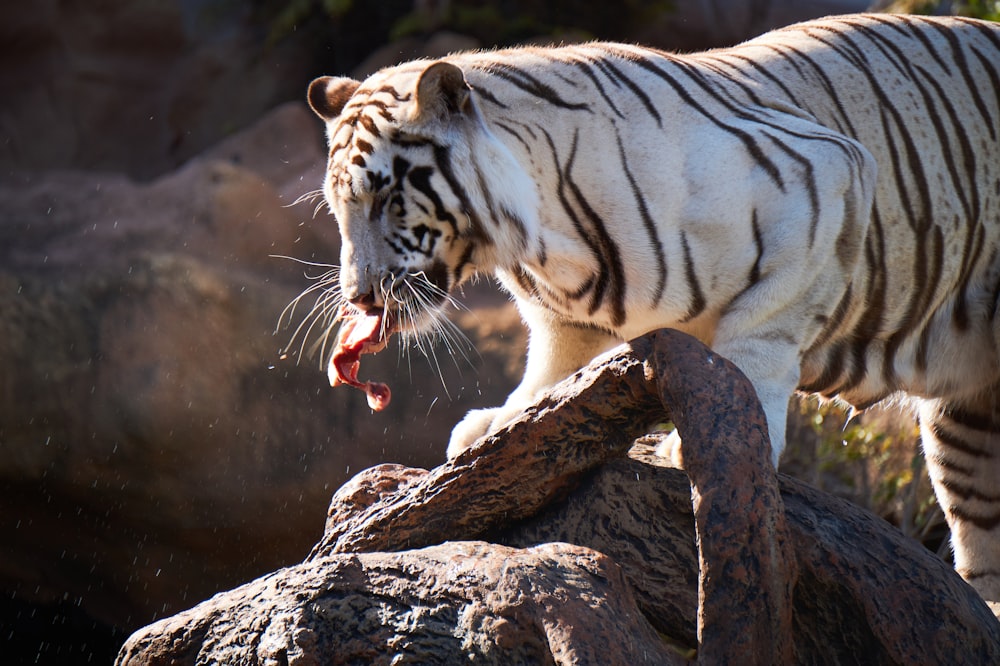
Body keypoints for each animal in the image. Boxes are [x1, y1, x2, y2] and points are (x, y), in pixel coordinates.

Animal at [302, 14, 1000, 608]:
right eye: (338, 207)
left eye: (386, 198)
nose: (360, 297)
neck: (537, 244)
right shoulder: (566, 318)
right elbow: (548, 370)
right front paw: (495, 426)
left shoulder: (826, 179)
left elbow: (756, 340)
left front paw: (718, 435)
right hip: (968, 431)